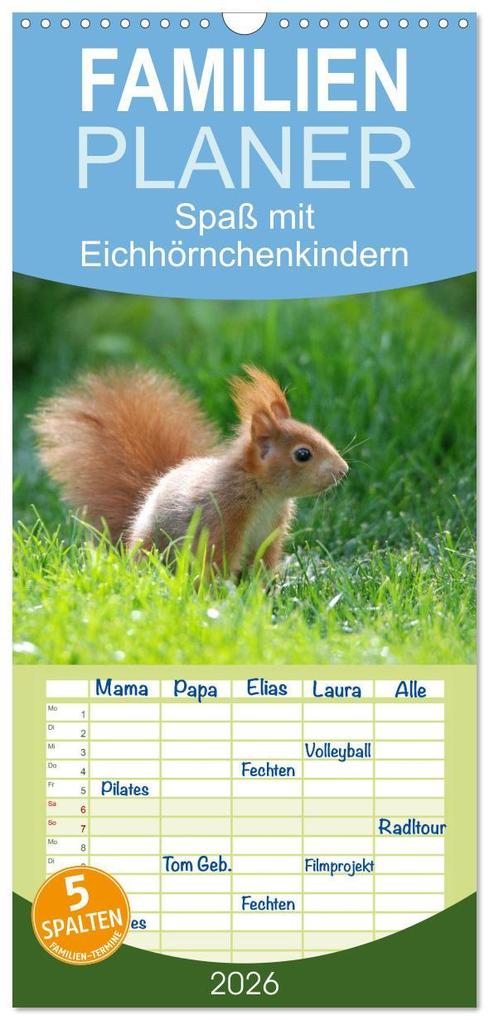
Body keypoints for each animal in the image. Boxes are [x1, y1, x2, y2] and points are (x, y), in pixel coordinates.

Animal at [33, 366, 348, 575]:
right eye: (303, 454)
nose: (343, 470)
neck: (264, 494)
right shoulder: (222, 519)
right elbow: (215, 564)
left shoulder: (269, 534)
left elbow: (262, 566)